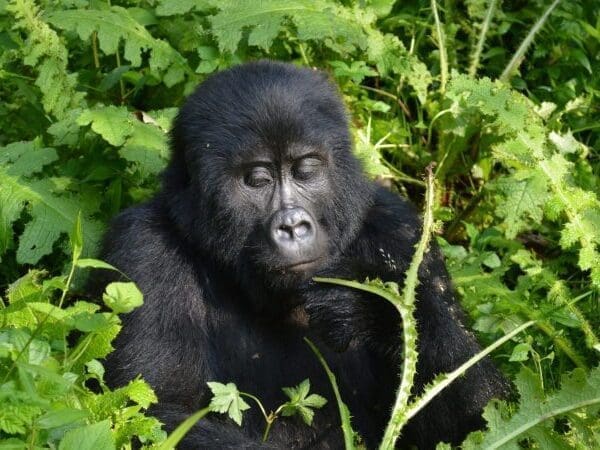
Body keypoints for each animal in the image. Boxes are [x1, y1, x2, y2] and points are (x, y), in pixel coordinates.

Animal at [101, 60, 508, 450]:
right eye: (258, 179)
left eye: (305, 171)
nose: (293, 225)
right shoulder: (142, 245)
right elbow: (155, 410)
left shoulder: (403, 232)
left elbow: (479, 414)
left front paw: (375, 310)